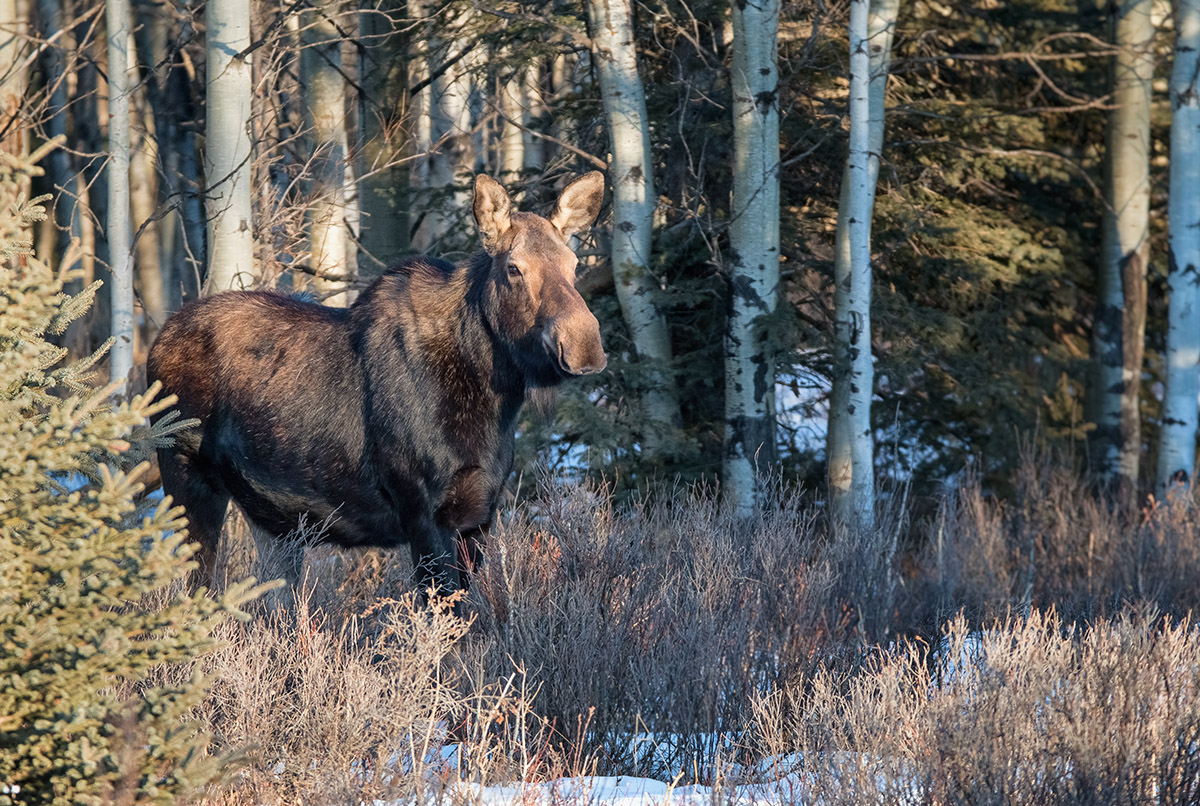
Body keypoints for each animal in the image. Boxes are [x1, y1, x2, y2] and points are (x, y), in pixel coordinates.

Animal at [147, 172, 607, 597]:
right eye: (514, 268)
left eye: (574, 263)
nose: (584, 343)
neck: (492, 404)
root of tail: (157, 342)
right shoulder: (424, 513)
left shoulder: (479, 517)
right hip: (185, 477)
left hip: (274, 519)